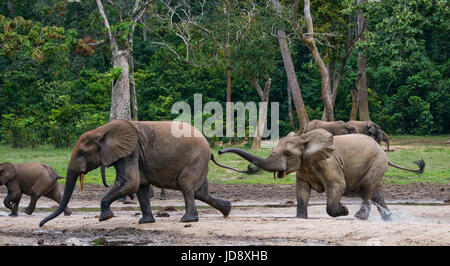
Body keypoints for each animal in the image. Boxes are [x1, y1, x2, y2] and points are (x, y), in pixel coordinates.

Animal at [39, 120, 243, 227]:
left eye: (82, 153)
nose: (41, 224)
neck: (102, 130)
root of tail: (209, 148)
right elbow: (141, 187)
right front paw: (145, 222)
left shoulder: (131, 151)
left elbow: (130, 183)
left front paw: (105, 217)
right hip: (199, 162)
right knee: (201, 192)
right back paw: (227, 210)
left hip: (195, 159)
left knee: (186, 187)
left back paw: (187, 219)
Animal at [220, 129, 424, 220]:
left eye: (288, 154)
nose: (220, 152)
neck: (305, 140)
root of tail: (384, 154)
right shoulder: (303, 168)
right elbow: (301, 191)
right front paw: (300, 219)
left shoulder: (330, 163)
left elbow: (337, 187)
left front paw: (343, 211)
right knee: (376, 193)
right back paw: (389, 219)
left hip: (377, 162)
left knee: (367, 188)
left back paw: (360, 216)